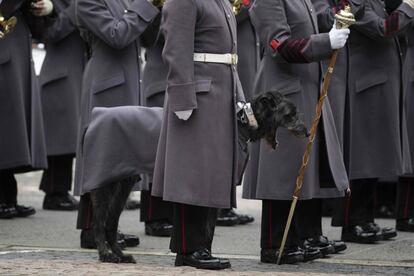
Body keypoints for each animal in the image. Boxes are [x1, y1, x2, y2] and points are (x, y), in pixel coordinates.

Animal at [86, 90, 308, 264]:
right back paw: (106, 255)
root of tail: (95, 117)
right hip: (102, 183)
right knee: (98, 223)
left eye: (296, 113)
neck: (243, 122)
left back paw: (120, 255)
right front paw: (203, 256)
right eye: (291, 114)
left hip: (122, 182)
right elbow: (208, 229)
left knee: (110, 222)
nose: (307, 132)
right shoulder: (213, 188)